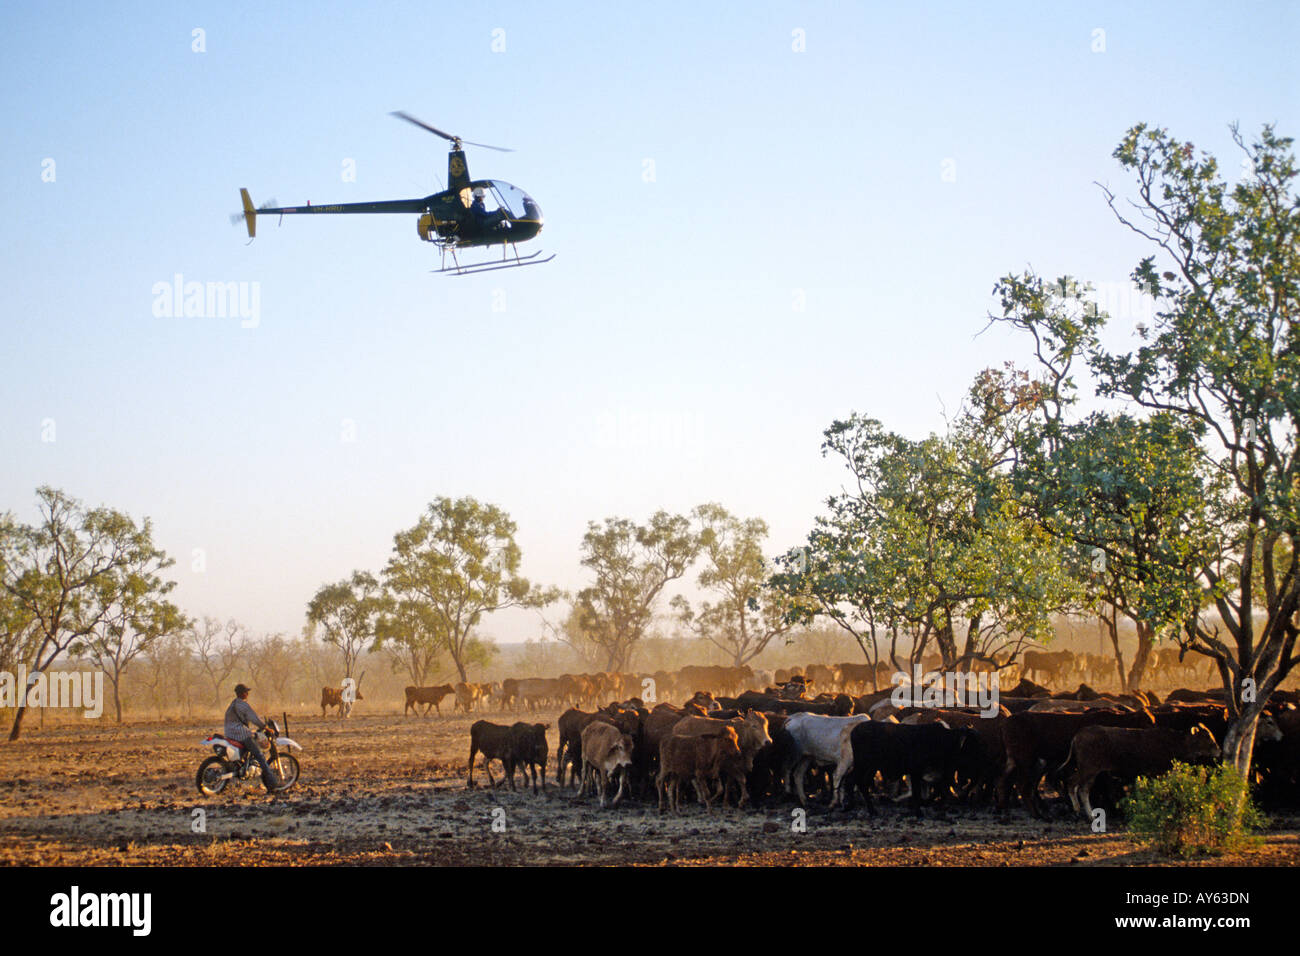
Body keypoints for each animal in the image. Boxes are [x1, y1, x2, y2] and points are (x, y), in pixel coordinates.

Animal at [1062, 724, 1221, 819]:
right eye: (1207, 736)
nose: (1218, 750)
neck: (1177, 743)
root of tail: (1077, 736)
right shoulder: (1158, 772)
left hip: (1088, 770)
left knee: (1077, 785)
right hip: (1089, 769)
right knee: (1078, 787)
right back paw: (1086, 813)